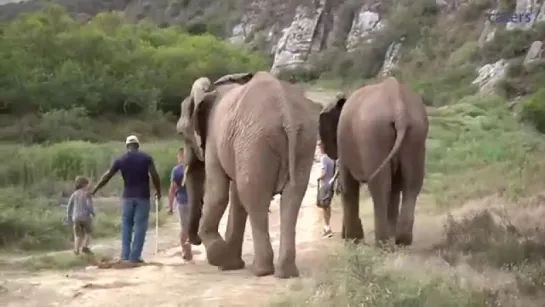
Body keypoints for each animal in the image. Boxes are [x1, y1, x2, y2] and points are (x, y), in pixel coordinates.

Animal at [174, 70, 318, 280]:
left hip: (255, 141)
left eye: (181, 133)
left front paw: (220, 259)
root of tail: (287, 115)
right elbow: (235, 198)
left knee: (254, 198)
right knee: (292, 196)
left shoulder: (214, 140)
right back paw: (286, 273)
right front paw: (230, 265)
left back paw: (262, 270)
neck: (209, 91)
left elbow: (218, 194)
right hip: (303, 140)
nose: (195, 241)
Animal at [318, 77, 430, 248]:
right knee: (411, 183)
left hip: (373, 135)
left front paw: (352, 240)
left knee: (380, 186)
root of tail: (400, 110)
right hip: (416, 133)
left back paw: (382, 243)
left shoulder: (343, 141)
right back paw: (401, 241)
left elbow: (347, 186)